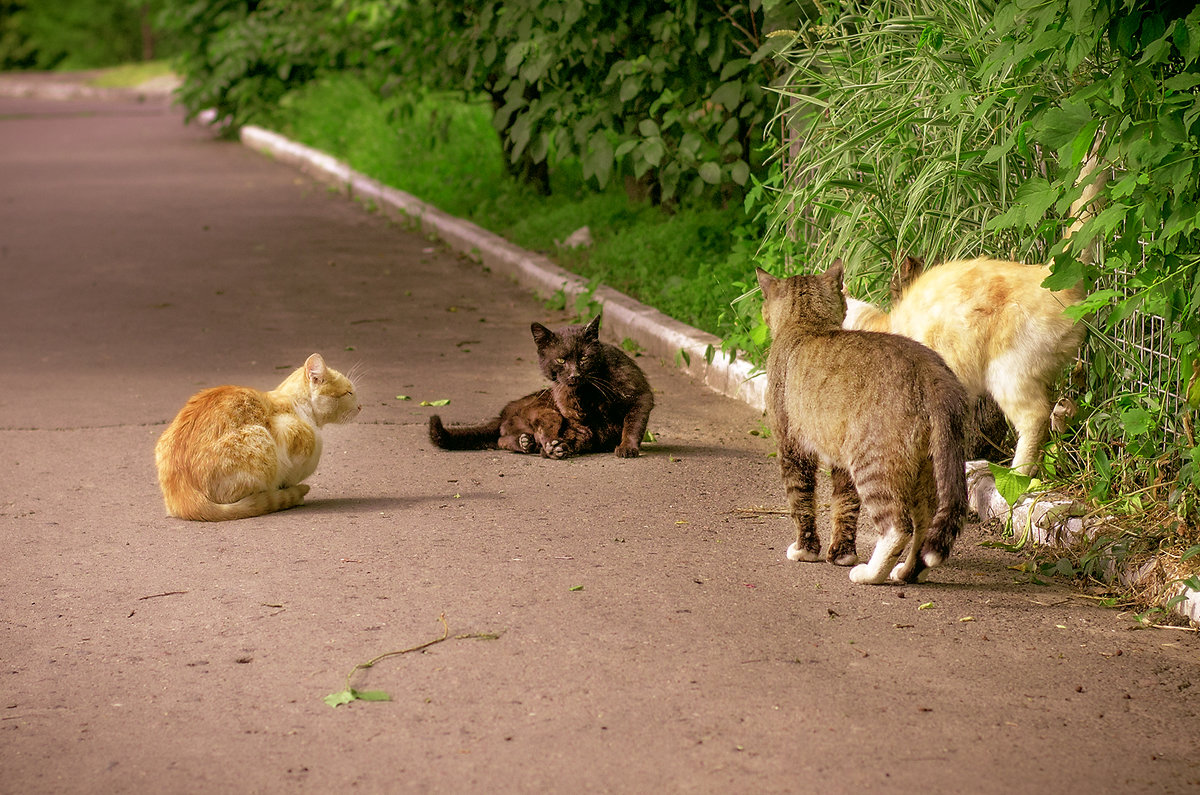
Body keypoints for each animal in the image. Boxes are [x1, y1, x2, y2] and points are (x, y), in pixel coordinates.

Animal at [429, 314, 657, 458]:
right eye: (561, 360)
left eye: (583, 358)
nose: (574, 374)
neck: (587, 393)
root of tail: (504, 411)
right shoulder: (571, 414)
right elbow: (580, 429)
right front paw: (556, 448)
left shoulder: (640, 396)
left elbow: (633, 424)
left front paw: (627, 448)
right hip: (548, 413)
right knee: (517, 436)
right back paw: (536, 445)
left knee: (503, 438)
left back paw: (530, 443)